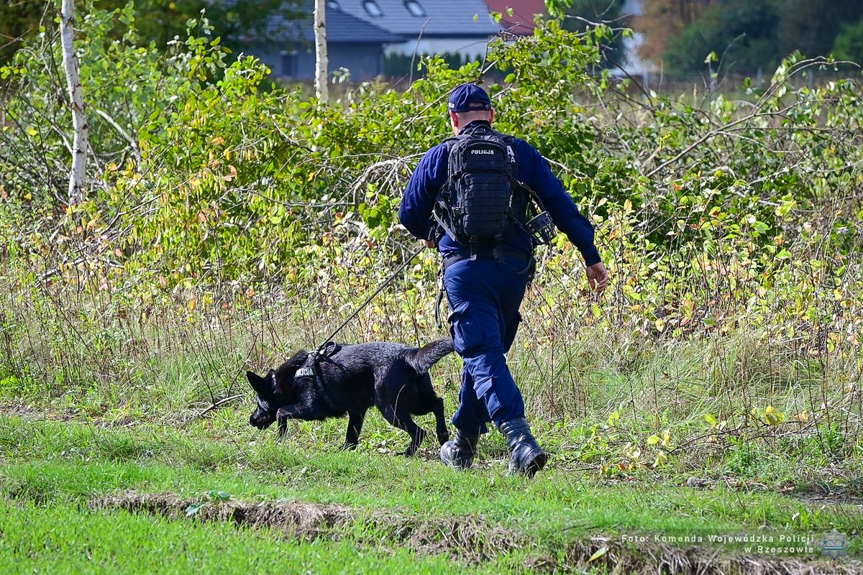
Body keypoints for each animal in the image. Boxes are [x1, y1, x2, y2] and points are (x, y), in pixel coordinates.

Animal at [248, 338, 456, 454]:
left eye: (258, 403)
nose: (251, 420)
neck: (291, 377)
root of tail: (410, 355)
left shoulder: (312, 409)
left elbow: (281, 411)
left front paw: (280, 438)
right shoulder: (357, 412)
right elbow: (351, 437)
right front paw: (345, 452)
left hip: (391, 408)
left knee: (419, 432)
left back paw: (407, 453)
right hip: (416, 402)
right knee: (438, 403)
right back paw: (443, 434)